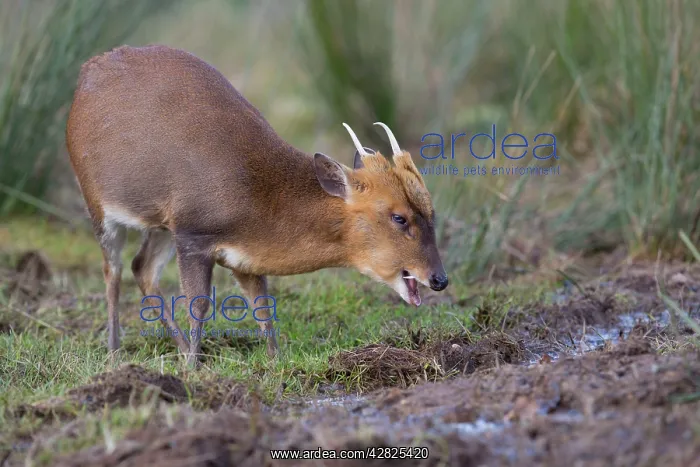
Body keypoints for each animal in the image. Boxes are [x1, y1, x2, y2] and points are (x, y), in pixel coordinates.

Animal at [65, 45, 449, 366]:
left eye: (432, 213)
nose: (440, 279)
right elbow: (199, 304)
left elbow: (262, 305)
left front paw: (274, 362)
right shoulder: (194, 234)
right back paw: (116, 353)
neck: (258, 196)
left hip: (160, 223)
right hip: (98, 205)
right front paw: (193, 369)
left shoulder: (241, 256)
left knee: (141, 267)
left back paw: (175, 348)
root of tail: (86, 72)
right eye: (398, 217)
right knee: (113, 270)